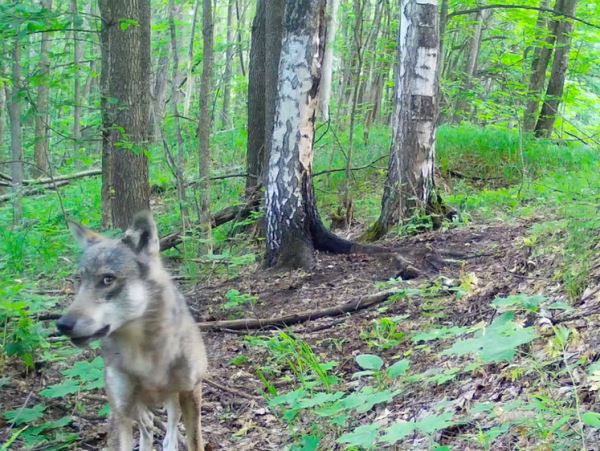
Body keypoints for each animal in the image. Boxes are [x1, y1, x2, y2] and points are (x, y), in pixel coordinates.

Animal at [58, 213, 209, 451]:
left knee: (169, 433)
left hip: (172, 400)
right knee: (148, 426)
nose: (62, 324)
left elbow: (194, 442)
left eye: (107, 279)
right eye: (80, 281)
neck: (146, 355)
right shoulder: (120, 410)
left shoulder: (191, 392)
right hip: (132, 407)